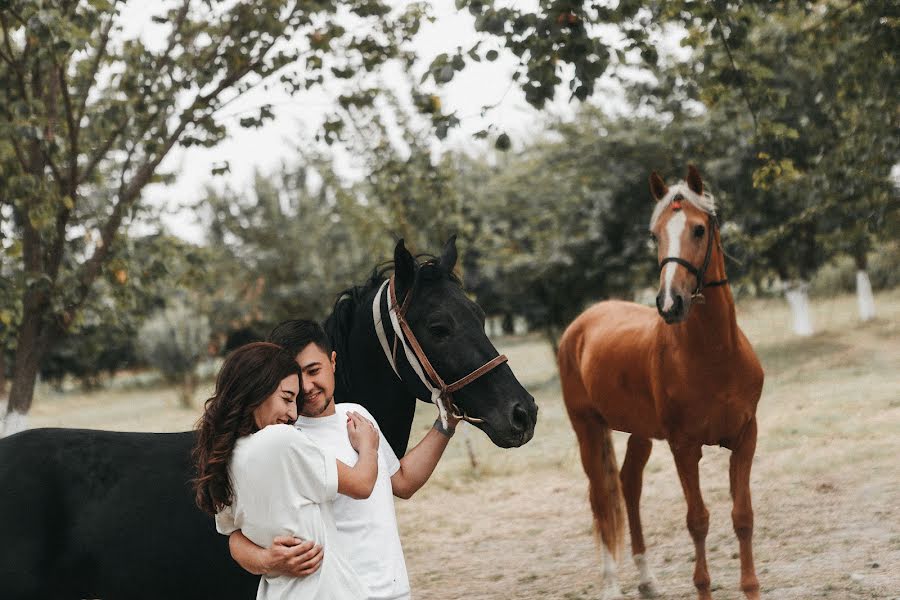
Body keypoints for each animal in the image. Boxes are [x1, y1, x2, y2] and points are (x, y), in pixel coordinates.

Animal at [560, 166, 764, 600]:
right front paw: (703, 588)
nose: (670, 304)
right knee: (601, 498)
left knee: (629, 484)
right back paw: (611, 584)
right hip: (588, 430)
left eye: (700, 229)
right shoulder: (684, 448)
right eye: (655, 235)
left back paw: (647, 579)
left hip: (641, 432)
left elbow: (742, 516)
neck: (715, 356)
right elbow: (698, 520)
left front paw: (751, 588)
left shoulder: (745, 439)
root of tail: (582, 324)